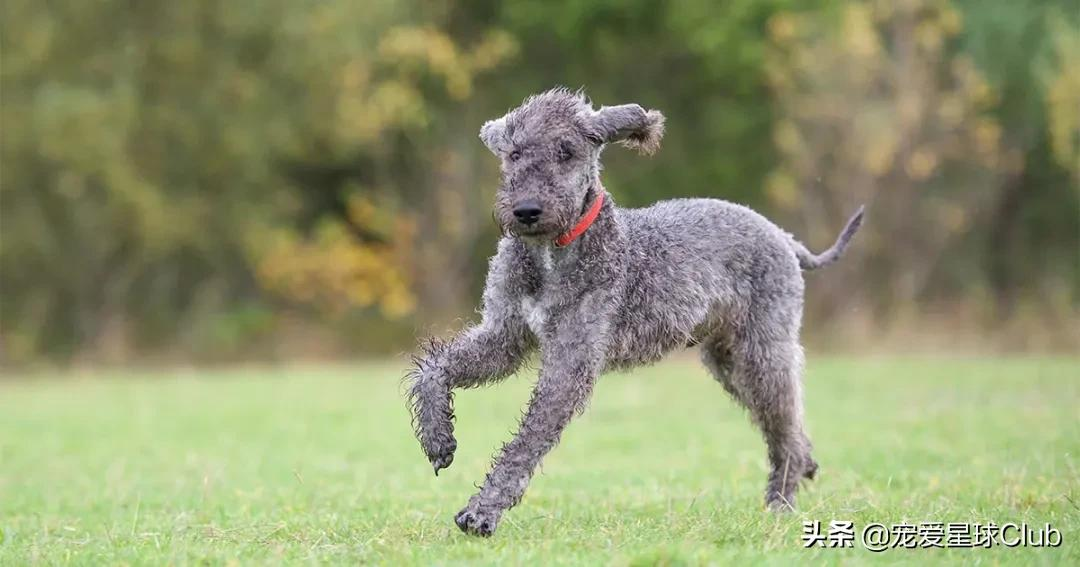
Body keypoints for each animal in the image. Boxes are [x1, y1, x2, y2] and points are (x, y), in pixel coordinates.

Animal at [401, 87, 864, 535]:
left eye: (566, 151)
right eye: (514, 153)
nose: (527, 210)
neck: (553, 252)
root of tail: (783, 237)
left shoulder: (570, 362)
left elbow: (525, 443)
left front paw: (483, 512)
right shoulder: (504, 336)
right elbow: (436, 368)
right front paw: (438, 438)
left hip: (762, 351)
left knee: (785, 427)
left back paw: (781, 501)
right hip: (729, 360)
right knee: (790, 426)